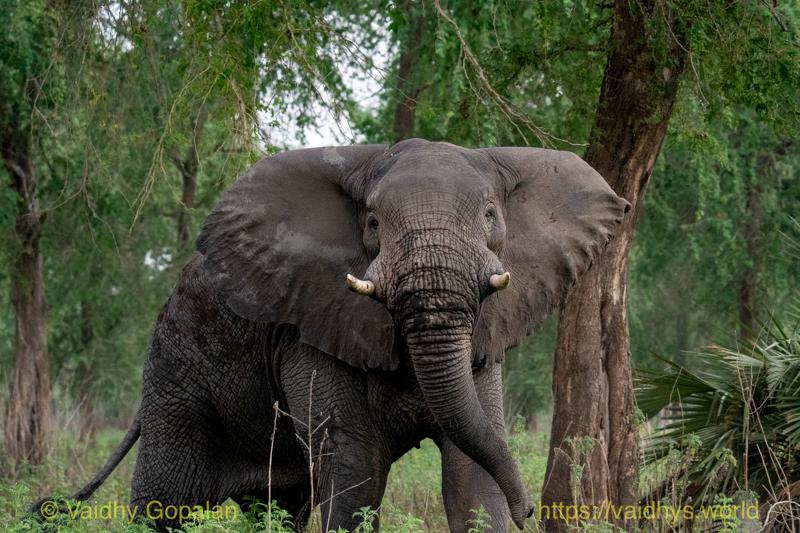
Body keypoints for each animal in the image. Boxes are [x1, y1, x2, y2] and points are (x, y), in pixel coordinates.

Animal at [36, 139, 628, 532]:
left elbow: (471, 471)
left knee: (279, 507)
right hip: (174, 369)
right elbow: (355, 465)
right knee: (165, 505)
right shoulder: (311, 320)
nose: (530, 509)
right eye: (372, 224)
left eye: (488, 215)